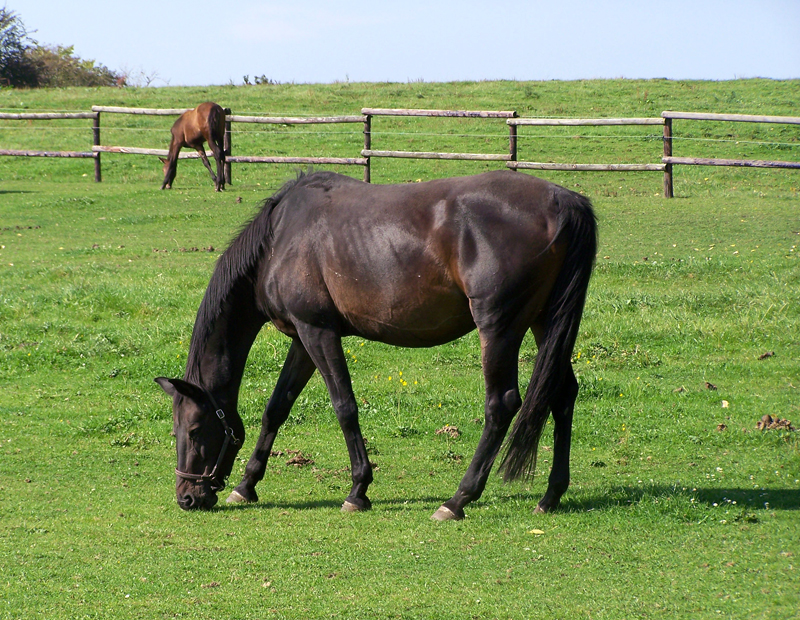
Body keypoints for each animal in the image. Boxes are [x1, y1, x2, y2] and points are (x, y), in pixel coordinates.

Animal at [156, 170, 596, 520]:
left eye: (194, 430)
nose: (187, 498)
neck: (279, 239)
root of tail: (563, 200)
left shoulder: (318, 332)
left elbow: (344, 407)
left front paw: (358, 490)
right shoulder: (302, 338)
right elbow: (276, 408)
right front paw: (246, 486)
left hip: (499, 328)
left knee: (501, 405)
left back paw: (457, 500)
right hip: (545, 323)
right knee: (562, 395)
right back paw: (551, 495)